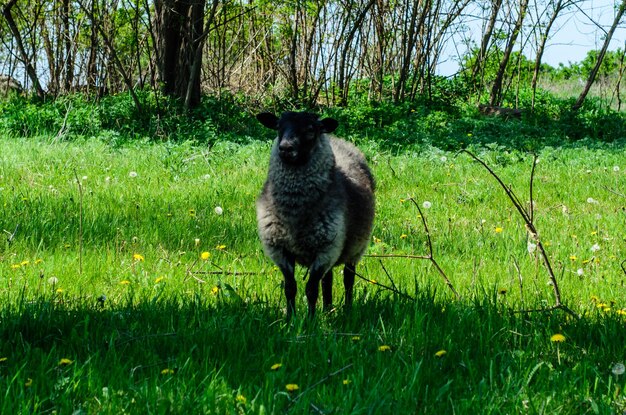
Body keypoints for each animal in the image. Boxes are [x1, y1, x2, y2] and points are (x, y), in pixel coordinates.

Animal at [255, 111, 372, 318]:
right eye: (278, 127)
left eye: (310, 130)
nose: (285, 148)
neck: (295, 211)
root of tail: (337, 139)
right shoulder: (280, 250)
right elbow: (290, 288)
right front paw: (290, 319)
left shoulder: (325, 249)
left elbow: (311, 289)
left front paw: (310, 320)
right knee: (328, 279)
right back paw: (327, 310)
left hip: (355, 248)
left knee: (348, 278)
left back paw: (347, 309)